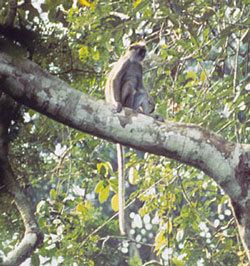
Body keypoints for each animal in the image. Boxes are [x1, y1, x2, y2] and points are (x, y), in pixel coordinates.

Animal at [104, 41, 155, 235]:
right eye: (140, 51)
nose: (144, 54)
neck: (133, 62)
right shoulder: (125, 62)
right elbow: (113, 81)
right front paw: (115, 104)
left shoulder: (139, 67)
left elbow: (143, 88)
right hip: (126, 97)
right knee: (129, 86)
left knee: (139, 91)